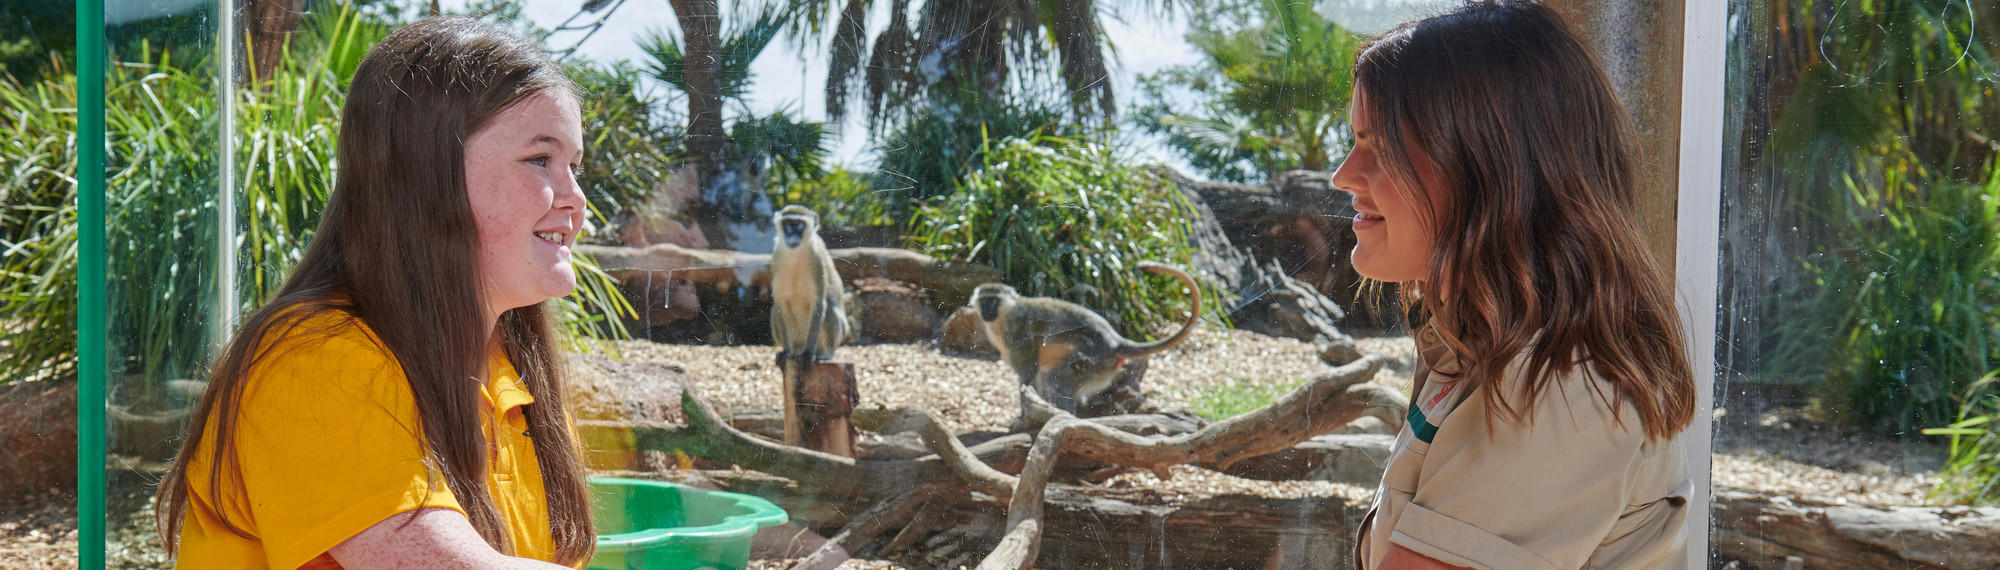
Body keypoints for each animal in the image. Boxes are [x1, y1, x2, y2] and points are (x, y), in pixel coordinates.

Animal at [769, 205, 851, 369]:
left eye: (799, 224)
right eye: (787, 224)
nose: (792, 234)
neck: (794, 255)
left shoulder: (816, 260)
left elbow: (818, 303)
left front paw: (808, 354)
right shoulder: (776, 255)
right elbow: (781, 303)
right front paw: (786, 352)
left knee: (829, 309)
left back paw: (823, 354)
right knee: (775, 309)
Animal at [971, 262, 1201, 414]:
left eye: (993, 301)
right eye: (984, 301)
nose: (987, 311)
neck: (1004, 315)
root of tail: (1115, 342)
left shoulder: (1016, 328)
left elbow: (1028, 374)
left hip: (1095, 360)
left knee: (1056, 378)